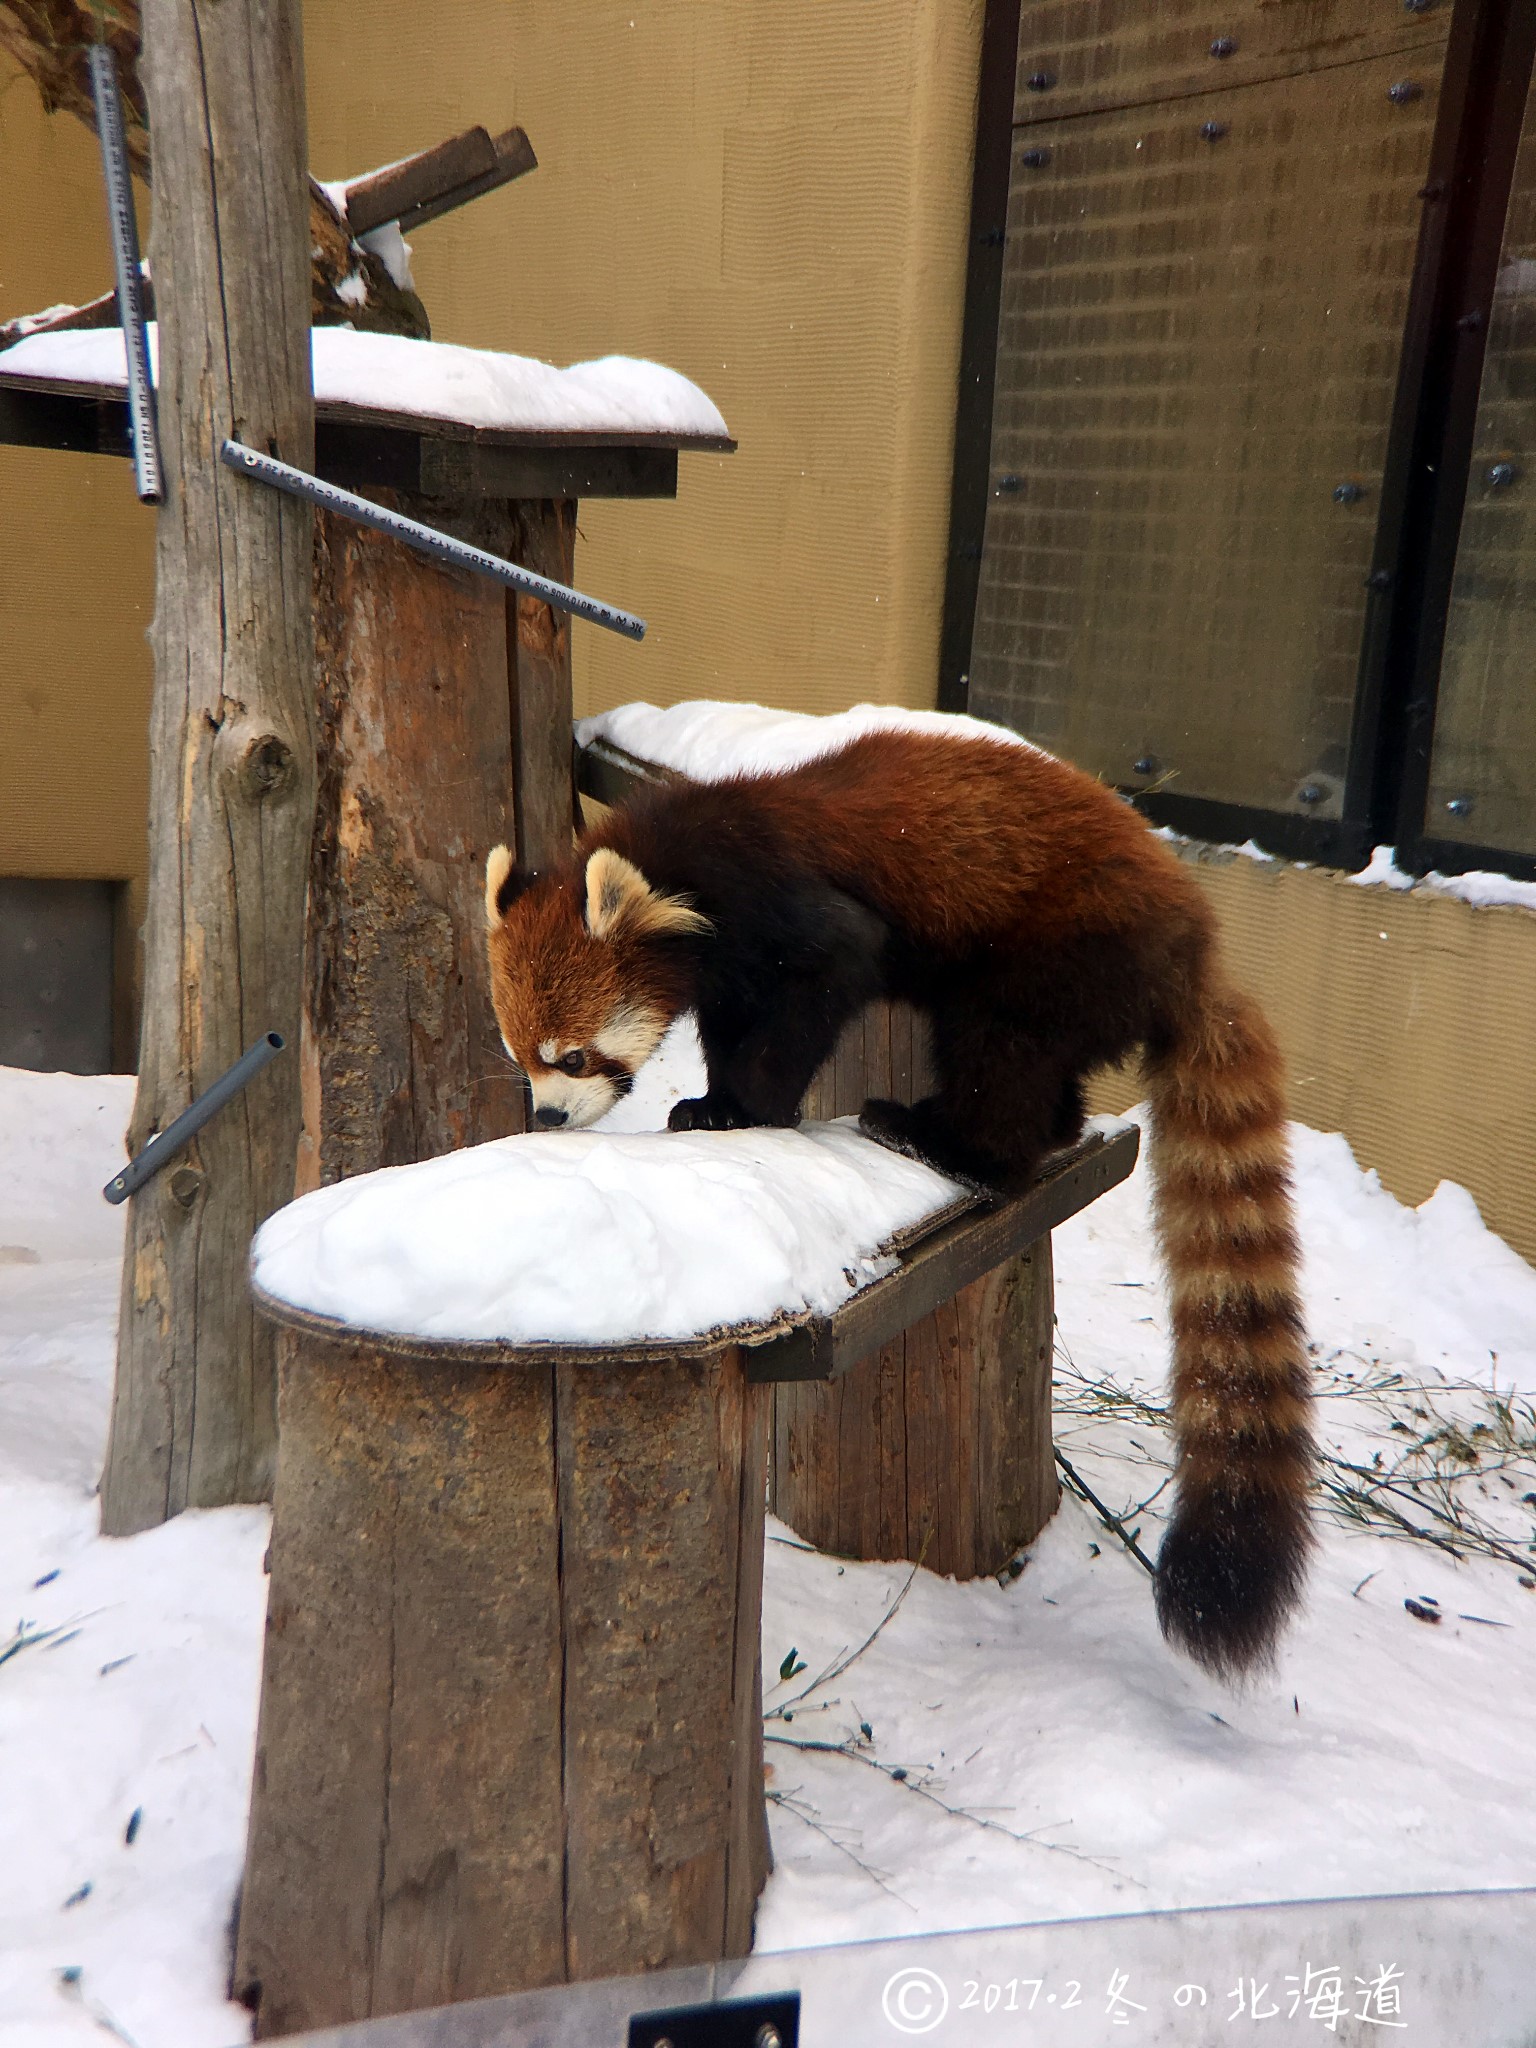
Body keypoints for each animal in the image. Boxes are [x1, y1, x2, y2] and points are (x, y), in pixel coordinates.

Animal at [487, 724, 1318, 1679]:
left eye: (573, 1056)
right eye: (522, 1056)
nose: (548, 1116)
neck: (674, 862)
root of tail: (1193, 943)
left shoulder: (775, 900)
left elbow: (827, 976)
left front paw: (744, 1109)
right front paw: (713, 1101)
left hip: (1058, 946)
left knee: (1003, 1045)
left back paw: (942, 1138)